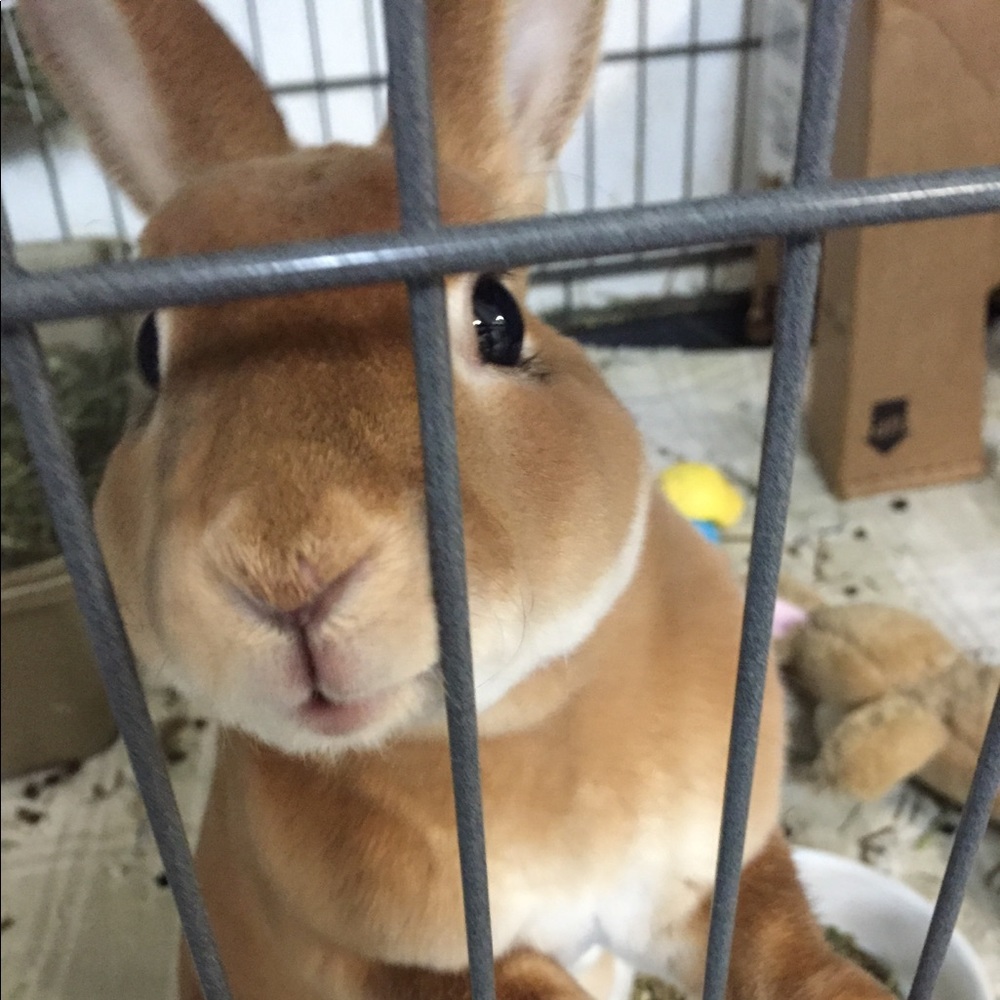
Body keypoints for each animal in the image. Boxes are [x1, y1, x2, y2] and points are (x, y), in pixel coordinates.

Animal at [21, 1, 895, 998]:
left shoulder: (705, 871)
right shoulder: (398, 959)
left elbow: (782, 938)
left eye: (498, 319)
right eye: (147, 354)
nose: (288, 572)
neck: (519, 720)